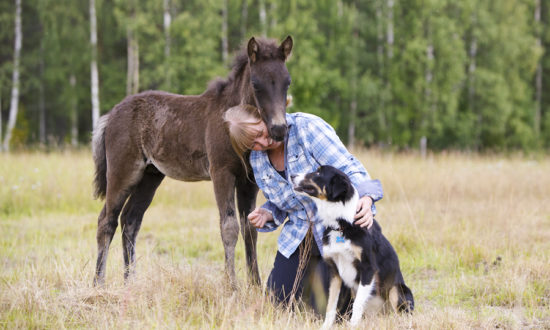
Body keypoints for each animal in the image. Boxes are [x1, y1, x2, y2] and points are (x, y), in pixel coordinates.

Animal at [92, 36, 296, 288]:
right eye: (256, 84)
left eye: (287, 83)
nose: (279, 129)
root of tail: (110, 115)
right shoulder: (221, 173)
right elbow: (229, 227)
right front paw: (231, 286)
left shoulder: (249, 181)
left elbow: (250, 228)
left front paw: (255, 285)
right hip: (124, 172)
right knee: (106, 220)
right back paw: (98, 285)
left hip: (150, 176)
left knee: (130, 220)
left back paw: (131, 283)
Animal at [294, 166, 414, 326]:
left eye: (318, 172)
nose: (291, 175)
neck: (341, 224)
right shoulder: (335, 271)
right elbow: (331, 304)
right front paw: (326, 326)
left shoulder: (368, 268)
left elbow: (358, 303)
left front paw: (353, 325)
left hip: (397, 290)